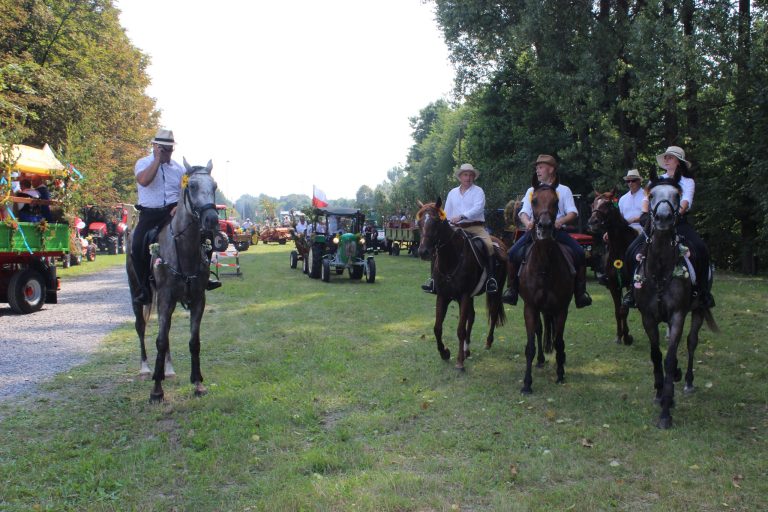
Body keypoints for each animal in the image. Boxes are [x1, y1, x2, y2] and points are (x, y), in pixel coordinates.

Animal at [416, 198, 508, 370]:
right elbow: (437, 328)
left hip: (495, 292)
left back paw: (488, 342)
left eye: (436, 222)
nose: (423, 252)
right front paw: (445, 353)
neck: (452, 258)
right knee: (471, 317)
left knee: (492, 315)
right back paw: (467, 350)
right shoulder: (443, 296)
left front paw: (459, 362)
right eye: (419, 223)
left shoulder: (464, 296)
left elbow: (460, 330)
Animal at [516, 179, 576, 392]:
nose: (545, 226)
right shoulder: (530, 307)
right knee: (540, 330)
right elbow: (530, 345)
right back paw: (541, 360)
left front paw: (560, 374)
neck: (544, 267)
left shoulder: (561, 309)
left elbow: (558, 341)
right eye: (533, 201)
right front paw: (527, 383)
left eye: (556, 202)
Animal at [592, 190, 640, 346]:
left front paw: (627, 336)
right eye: (593, 203)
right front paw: (620, 335)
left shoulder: (630, 284)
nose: (593, 222)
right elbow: (618, 310)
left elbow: (624, 309)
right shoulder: (614, 285)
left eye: (608, 204)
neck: (621, 249)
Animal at [632, 171, 716, 428]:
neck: (660, 271)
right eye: (651, 195)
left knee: (691, 342)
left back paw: (687, 380)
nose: (663, 218)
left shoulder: (678, 315)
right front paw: (660, 393)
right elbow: (656, 355)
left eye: (677, 195)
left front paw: (666, 411)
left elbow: (669, 359)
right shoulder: (648, 317)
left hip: (698, 310)